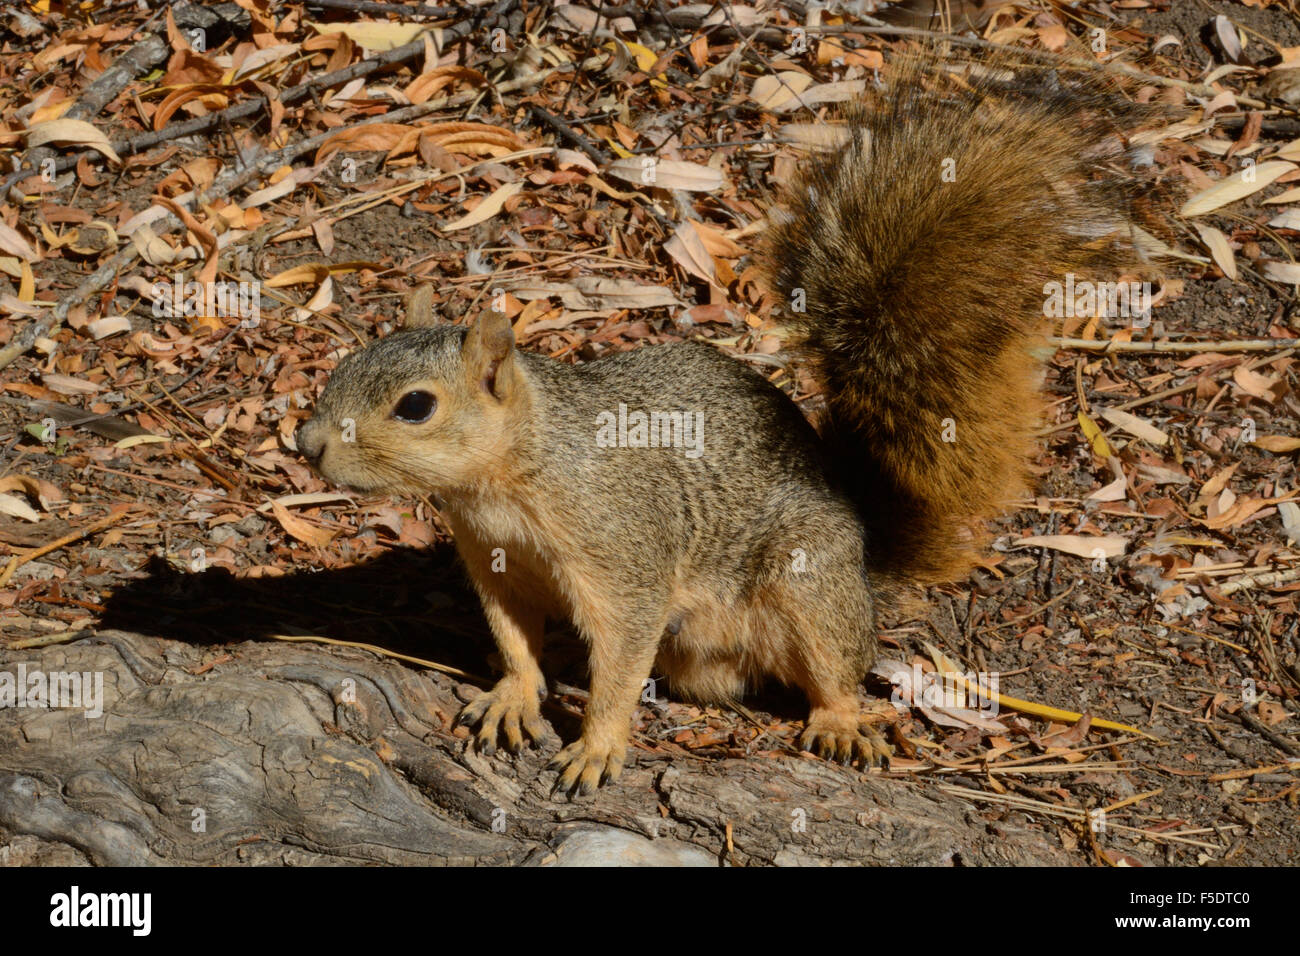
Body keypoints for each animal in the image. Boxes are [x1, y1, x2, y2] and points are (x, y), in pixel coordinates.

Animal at [297, 55, 1149, 796]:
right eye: (342, 367)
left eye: (415, 406)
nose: (308, 445)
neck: (511, 480)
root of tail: (862, 543)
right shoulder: (495, 561)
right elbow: (514, 640)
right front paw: (514, 694)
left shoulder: (625, 560)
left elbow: (618, 664)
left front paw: (597, 745)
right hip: (704, 652)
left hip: (807, 584)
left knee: (836, 665)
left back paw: (840, 720)